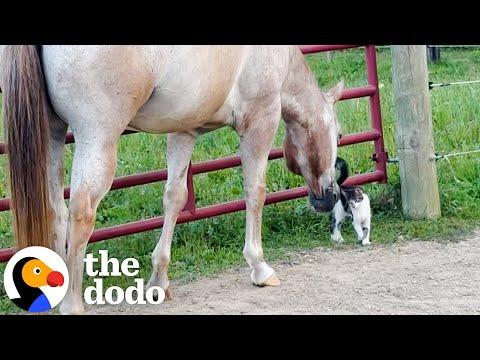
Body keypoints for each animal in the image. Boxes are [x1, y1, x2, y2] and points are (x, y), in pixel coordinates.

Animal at [0, 45, 344, 316]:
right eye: (339, 135)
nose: (329, 197)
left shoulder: (184, 131)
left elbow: (174, 198)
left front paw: (158, 280)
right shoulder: (261, 120)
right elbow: (255, 192)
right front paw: (259, 266)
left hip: (51, 135)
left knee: (55, 210)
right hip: (97, 137)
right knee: (81, 213)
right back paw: (71, 304)